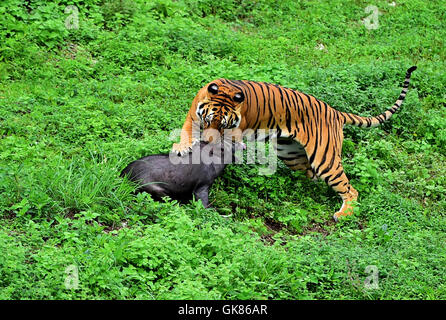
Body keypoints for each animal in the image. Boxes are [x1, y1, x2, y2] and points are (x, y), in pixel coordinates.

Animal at [172, 66, 416, 221]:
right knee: (310, 177)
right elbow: (186, 133)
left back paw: (343, 214)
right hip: (290, 154)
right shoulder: (192, 117)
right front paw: (182, 147)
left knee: (350, 189)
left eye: (224, 125)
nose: (207, 140)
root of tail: (336, 112)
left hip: (325, 159)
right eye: (208, 120)